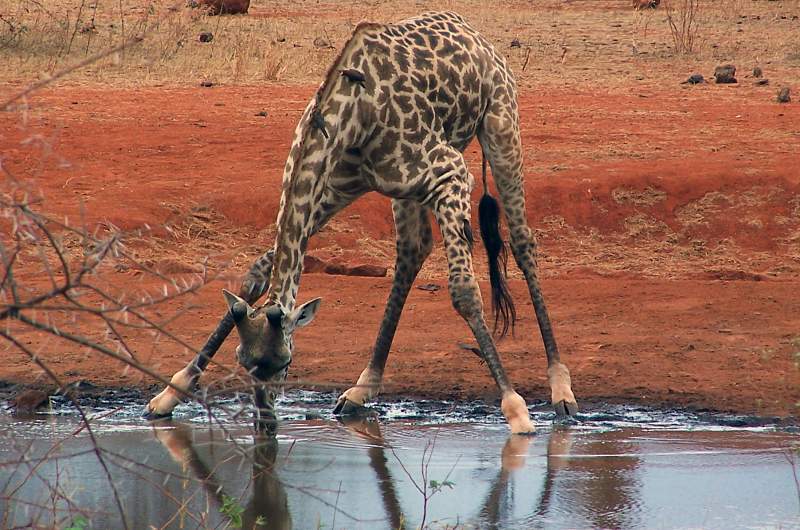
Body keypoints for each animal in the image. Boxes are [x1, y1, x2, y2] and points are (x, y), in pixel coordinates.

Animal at [145, 11, 576, 434]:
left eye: (285, 362)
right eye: (242, 361)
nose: (265, 422)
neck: (354, 113)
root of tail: (475, 34)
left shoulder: (451, 174)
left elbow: (464, 292)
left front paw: (515, 408)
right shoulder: (329, 189)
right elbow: (258, 273)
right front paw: (171, 392)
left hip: (501, 128)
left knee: (521, 241)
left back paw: (561, 388)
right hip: (393, 190)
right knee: (412, 251)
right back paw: (362, 387)